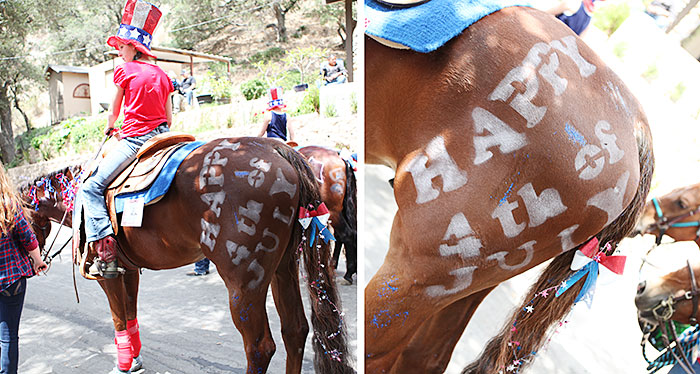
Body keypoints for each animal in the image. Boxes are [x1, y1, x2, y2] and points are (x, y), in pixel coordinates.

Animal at [19, 138, 352, 374]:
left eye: (19, 217)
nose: (36, 262)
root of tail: (277, 148)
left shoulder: (107, 275)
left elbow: (118, 319)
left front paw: (124, 364)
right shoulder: (128, 271)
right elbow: (130, 314)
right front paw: (135, 359)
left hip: (244, 284)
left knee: (260, 347)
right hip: (282, 267)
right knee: (295, 331)